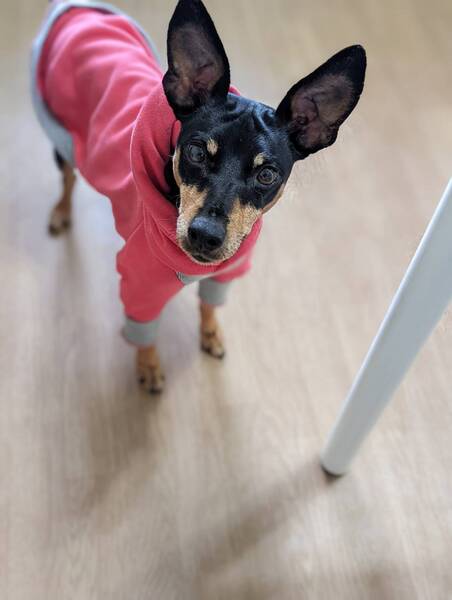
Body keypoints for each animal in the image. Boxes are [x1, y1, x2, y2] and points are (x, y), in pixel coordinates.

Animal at [32, 0, 366, 393]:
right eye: (195, 152)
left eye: (266, 174)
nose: (205, 235)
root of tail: (76, 9)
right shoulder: (139, 283)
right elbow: (145, 333)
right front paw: (148, 367)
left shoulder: (228, 271)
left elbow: (209, 305)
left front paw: (210, 334)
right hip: (61, 136)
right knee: (68, 179)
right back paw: (61, 212)